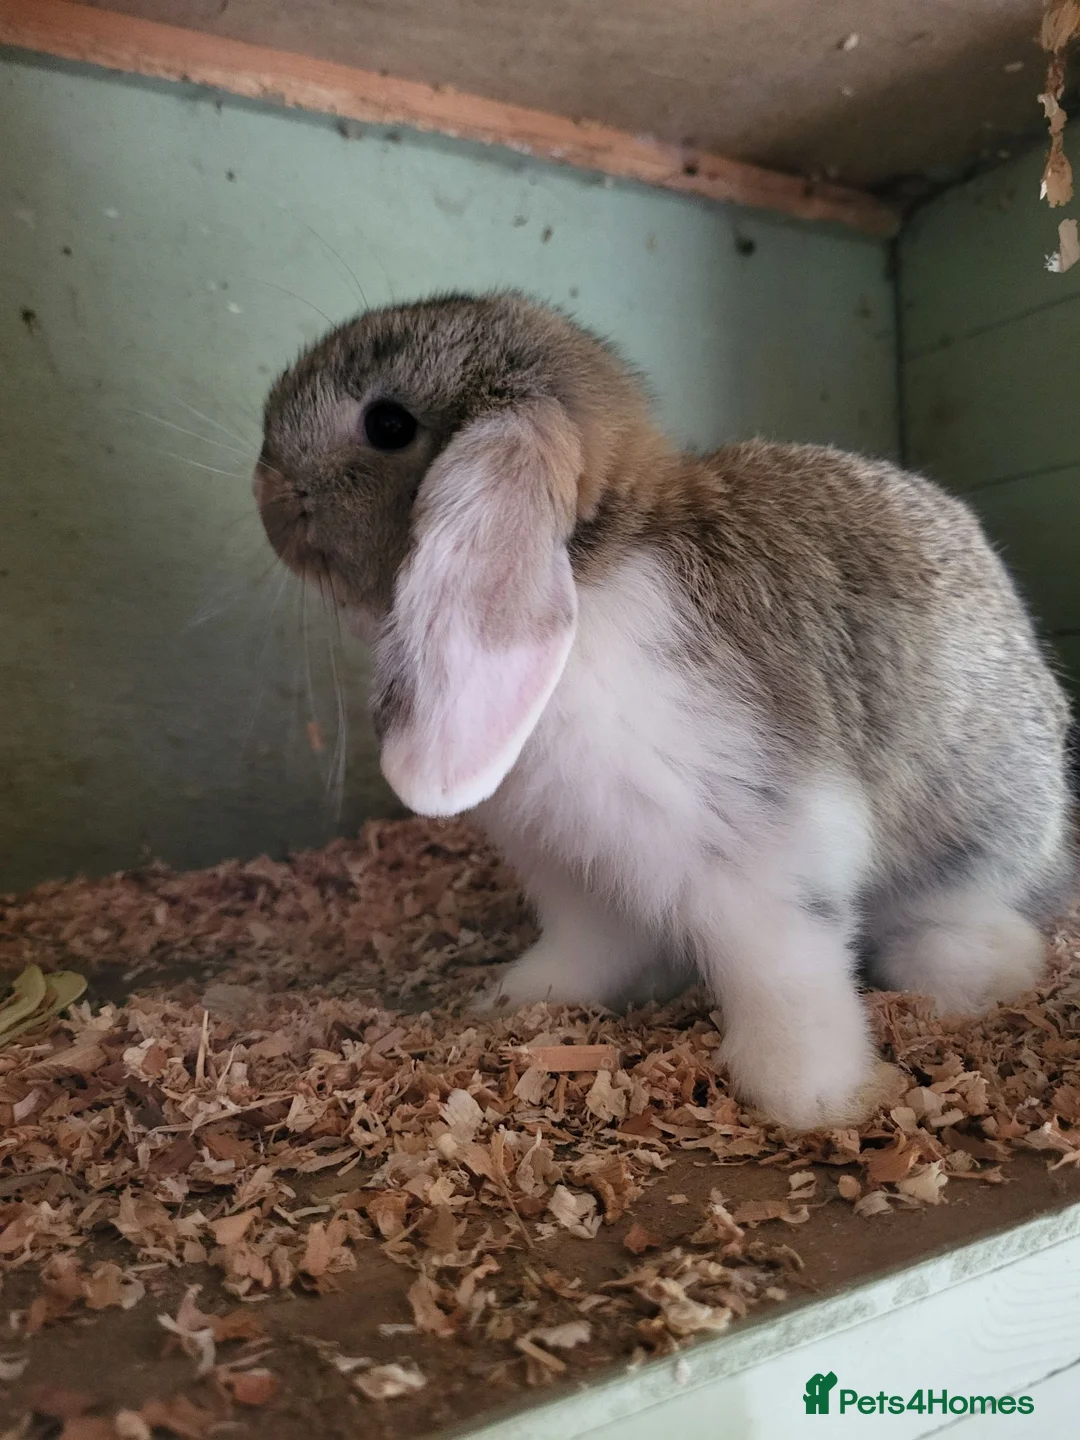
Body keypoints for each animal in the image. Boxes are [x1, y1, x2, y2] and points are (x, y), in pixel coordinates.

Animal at [253, 290, 1075, 1130]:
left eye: (388, 423)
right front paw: (515, 1000)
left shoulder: (768, 850)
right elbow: (587, 952)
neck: (592, 572)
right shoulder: (577, 874)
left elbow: (788, 976)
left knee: (995, 936)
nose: (265, 489)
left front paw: (815, 1096)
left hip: (974, 847)